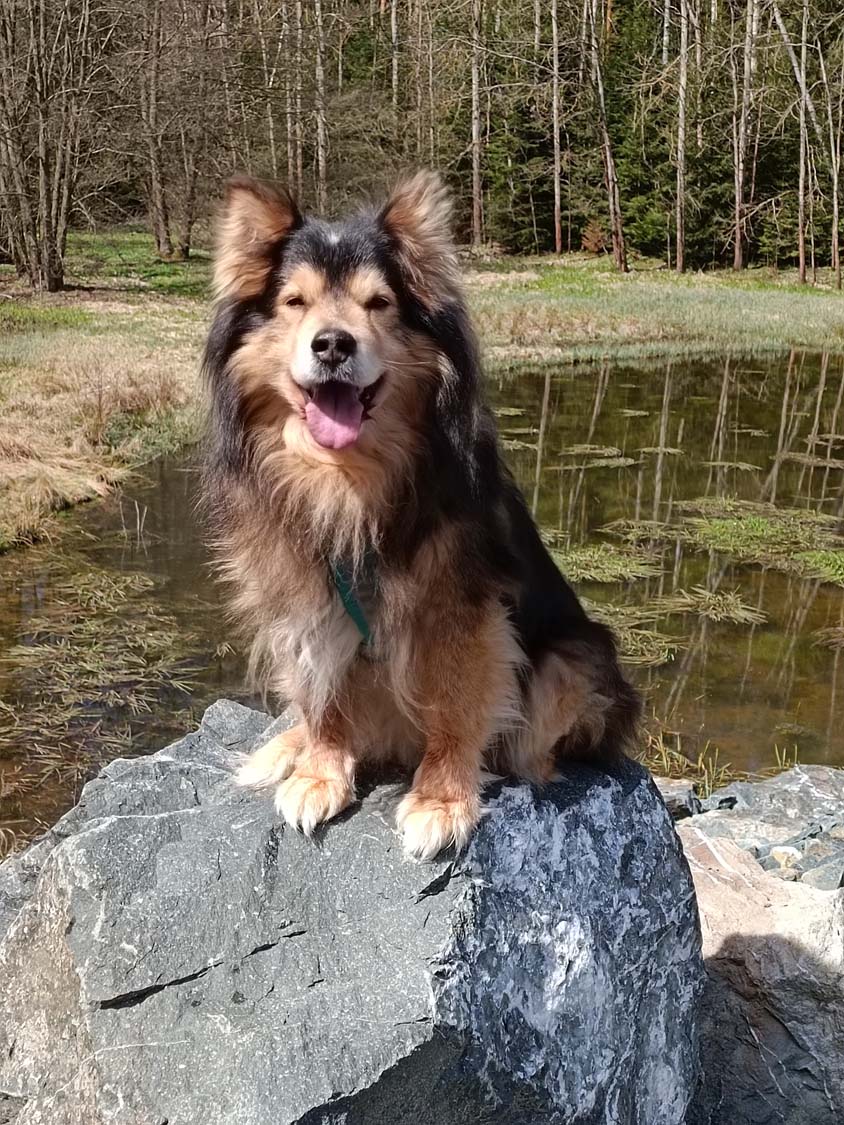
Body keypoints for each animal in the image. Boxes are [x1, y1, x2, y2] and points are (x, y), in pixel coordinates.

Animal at [202, 171, 641, 860]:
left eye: (378, 303)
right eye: (295, 302)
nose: (332, 344)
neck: (346, 477)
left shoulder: (460, 605)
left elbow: (457, 706)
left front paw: (441, 801)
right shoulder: (304, 590)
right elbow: (321, 690)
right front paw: (318, 772)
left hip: (575, 659)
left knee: (533, 739)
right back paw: (284, 746)